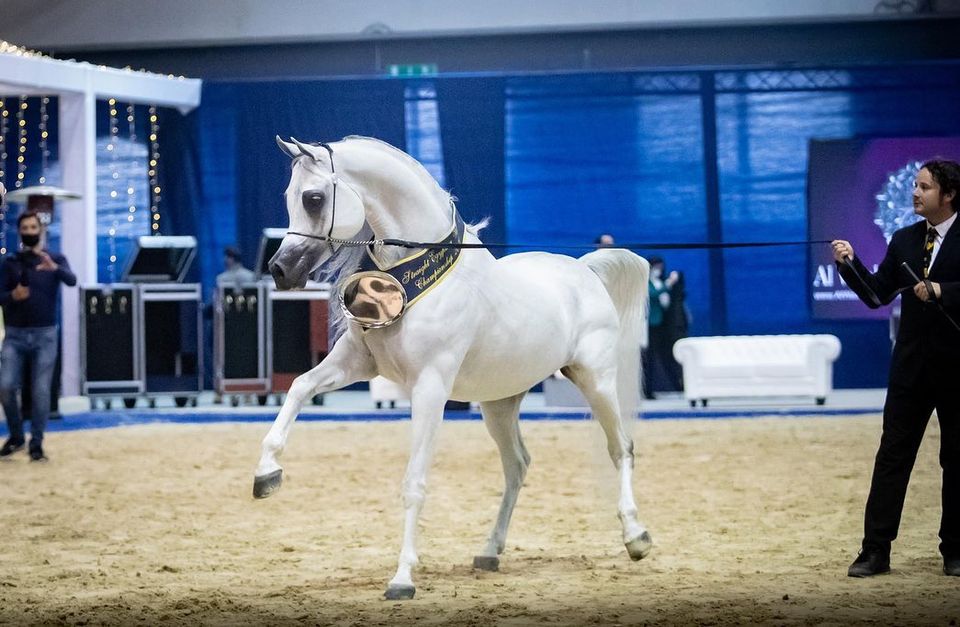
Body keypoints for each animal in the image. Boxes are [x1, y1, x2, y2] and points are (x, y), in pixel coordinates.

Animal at [255, 136, 652, 600]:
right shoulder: (355, 362)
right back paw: (490, 550)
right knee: (517, 465)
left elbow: (414, 482)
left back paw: (636, 537)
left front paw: (402, 579)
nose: (280, 270)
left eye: (314, 198)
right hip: (500, 402)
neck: (417, 277)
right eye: (290, 196)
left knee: (620, 447)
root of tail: (585, 269)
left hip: (597, 381)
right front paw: (266, 474)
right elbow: (300, 386)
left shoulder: (429, 388)